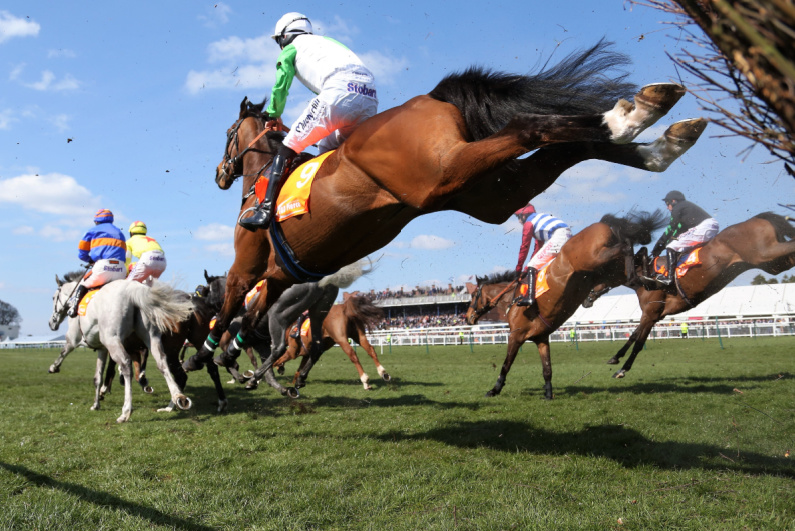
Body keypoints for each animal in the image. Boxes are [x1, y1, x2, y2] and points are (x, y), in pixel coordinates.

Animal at [50, 270, 196, 424]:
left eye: (54, 297)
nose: (51, 323)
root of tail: (133, 291)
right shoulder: (102, 348)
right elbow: (98, 377)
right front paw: (96, 404)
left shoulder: (74, 338)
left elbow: (64, 351)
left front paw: (54, 367)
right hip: (152, 337)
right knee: (162, 362)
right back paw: (178, 399)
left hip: (112, 339)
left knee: (126, 365)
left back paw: (126, 411)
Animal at [464, 211, 668, 400]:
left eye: (473, 295)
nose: (467, 318)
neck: (512, 299)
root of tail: (602, 223)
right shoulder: (541, 338)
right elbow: (547, 369)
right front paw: (548, 393)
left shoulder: (516, 335)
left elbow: (506, 365)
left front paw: (494, 389)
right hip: (611, 271)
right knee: (639, 252)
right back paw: (650, 278)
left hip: (597, 258)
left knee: (627, 245)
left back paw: (643, 277)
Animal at [592, 212, 795, 378]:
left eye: (592, 275)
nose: (586, 299)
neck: (645, 276)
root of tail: (758, 218)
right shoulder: (655, 316)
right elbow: (633, 336)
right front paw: (615, 358)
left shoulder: (650, 314)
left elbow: (638, 342)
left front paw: (622, 369)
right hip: (774, 264)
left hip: (766, 254)